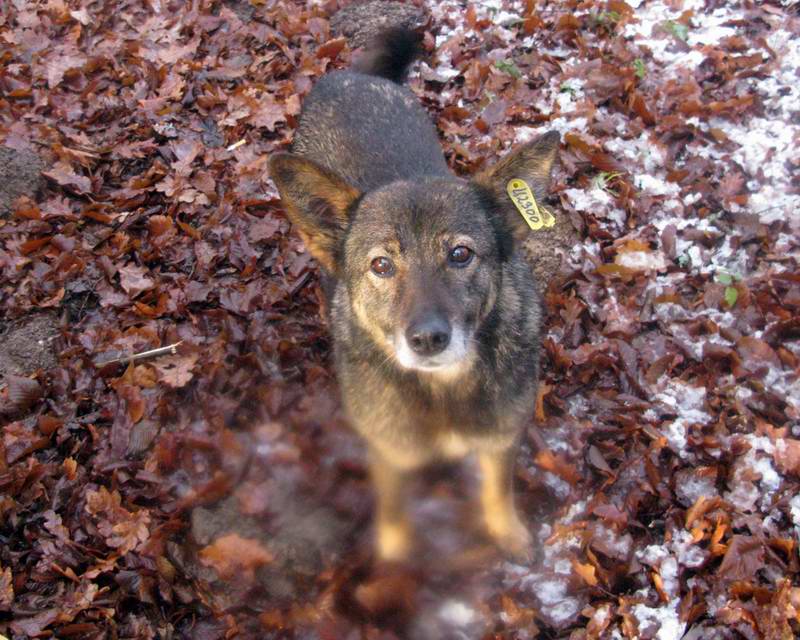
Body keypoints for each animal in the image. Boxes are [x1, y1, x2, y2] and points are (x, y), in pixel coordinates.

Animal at [268, 30, 556, 560]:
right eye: (381, 265)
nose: (426, 339)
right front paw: (397, 559)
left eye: (461, 255)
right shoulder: (389, 452)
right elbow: (395, 509)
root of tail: (354, 75)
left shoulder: (501, 438)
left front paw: (506, 532)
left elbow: (497, 489)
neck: (443, 391)